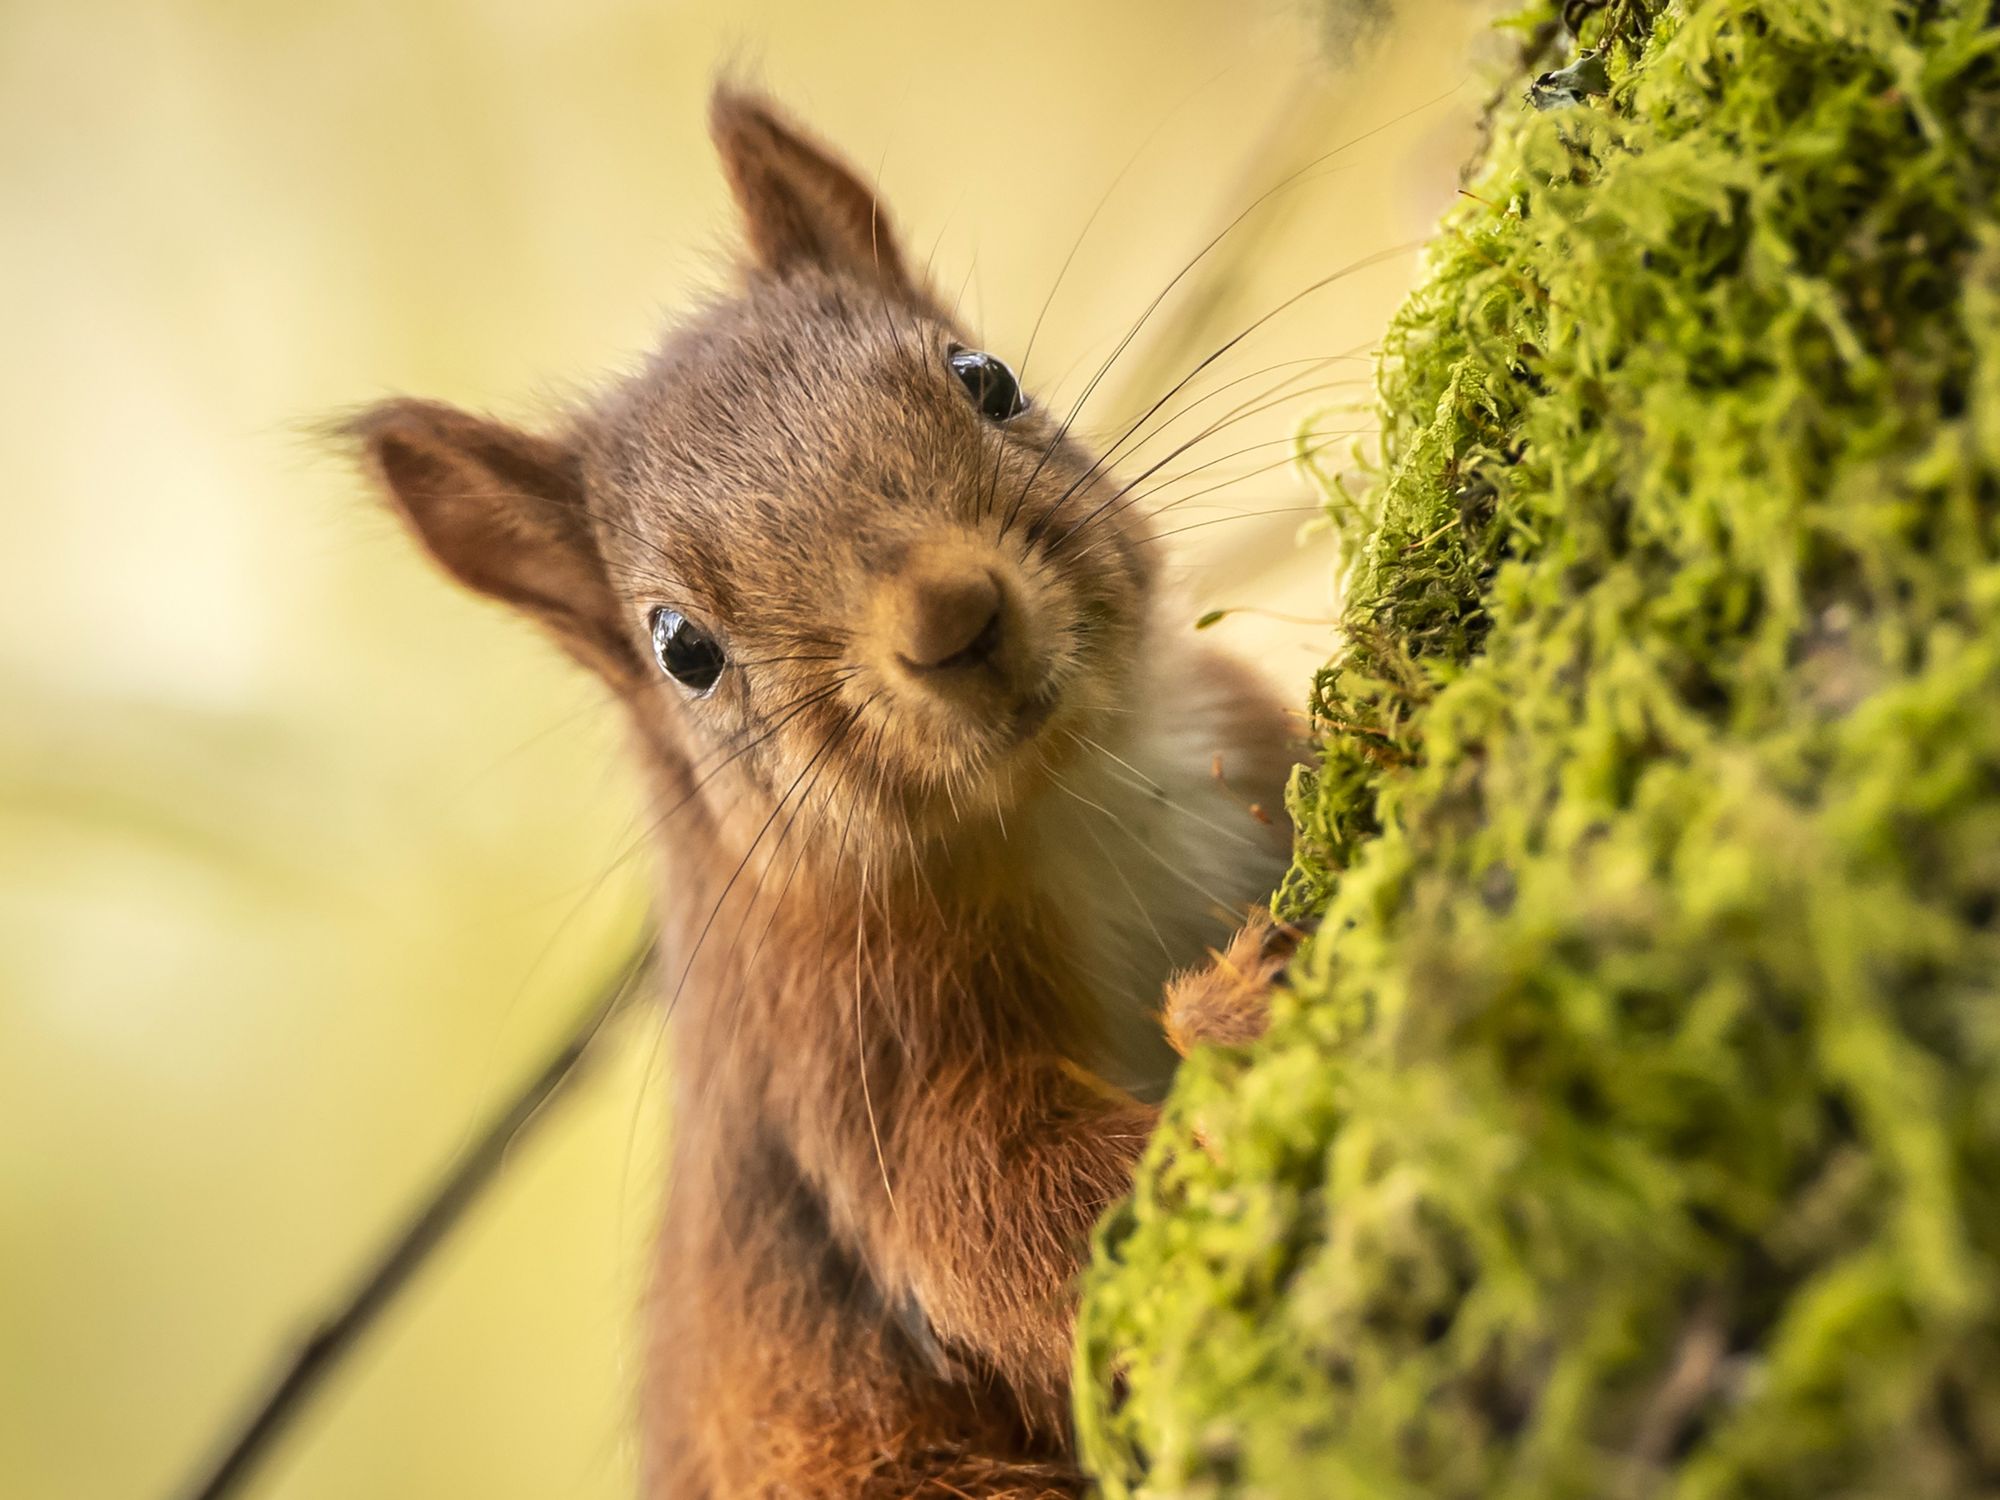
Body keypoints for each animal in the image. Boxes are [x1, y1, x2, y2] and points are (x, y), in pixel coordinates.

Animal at [350, 86, 1302, 1500]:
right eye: (681, 648)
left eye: (985, 377)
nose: (952, 616)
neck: (1068, 795)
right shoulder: (845, 1058)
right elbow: (1005, 1220)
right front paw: (1235, 1027)